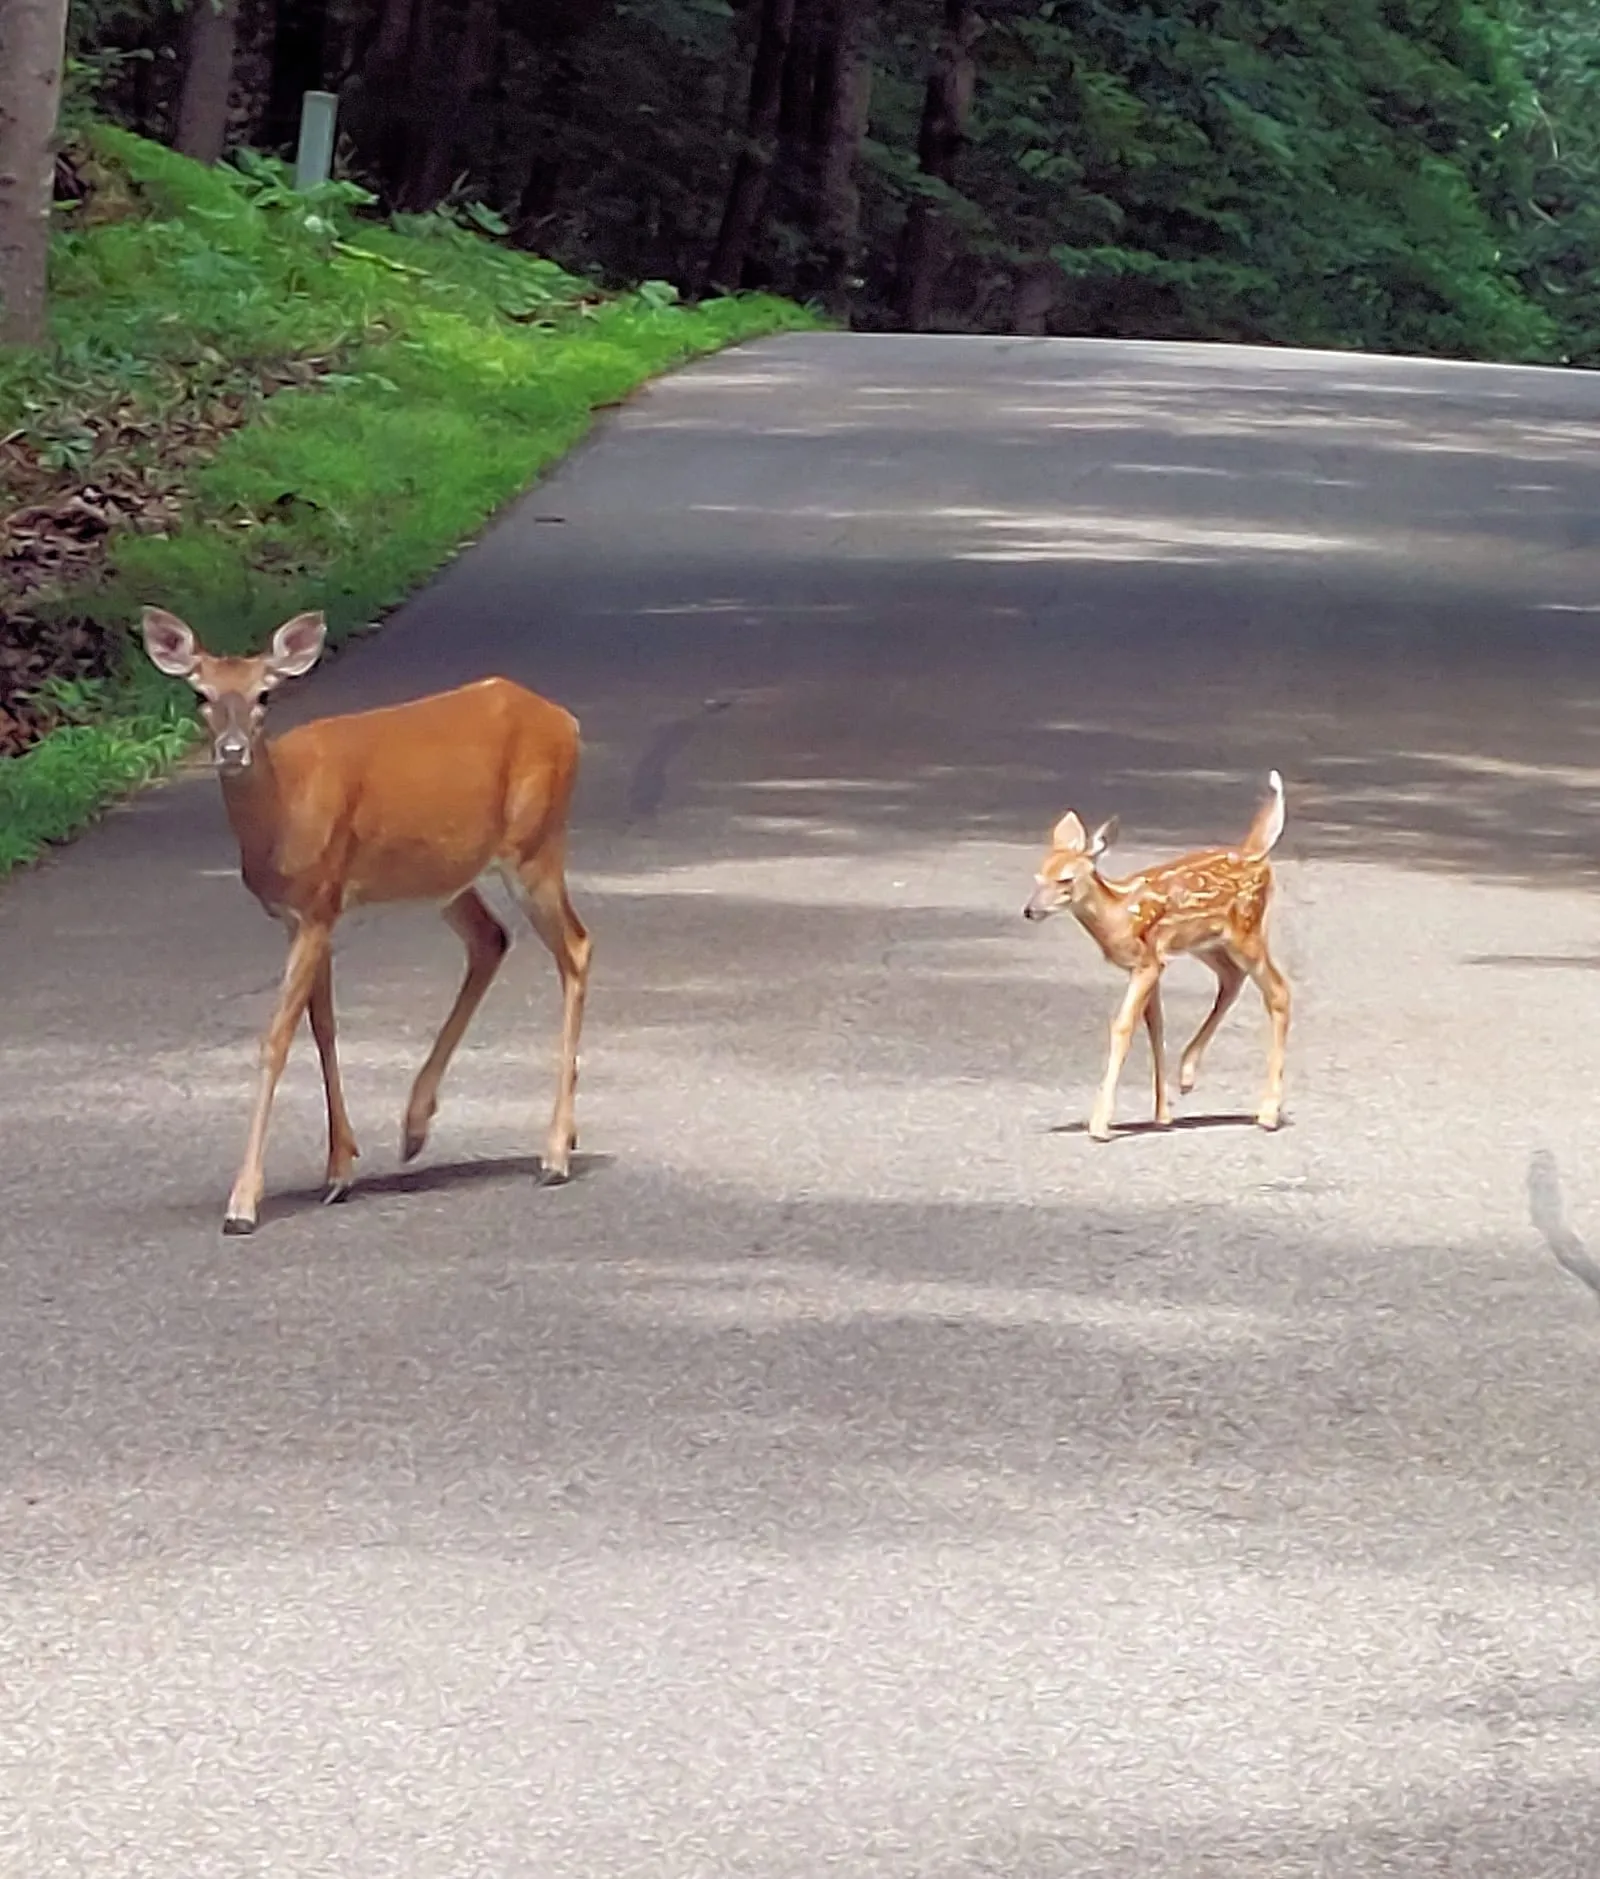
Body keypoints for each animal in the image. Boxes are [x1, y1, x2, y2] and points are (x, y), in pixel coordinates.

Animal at [140, 607, 592, 1236]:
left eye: (263, 694)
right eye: (199, 694)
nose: (232, 750)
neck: (283, 809)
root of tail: (565, 721)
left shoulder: (319, 902)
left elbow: (276, 1037)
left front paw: (243, 1203)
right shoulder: (308, 914)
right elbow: (322, 1025)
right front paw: (338, 1169)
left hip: (535, 844)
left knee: (575, 946)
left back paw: (553, 1153)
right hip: (447, 873)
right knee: (491, 940)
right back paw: (420, 1126)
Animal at [1022, 771, 1290, 1142]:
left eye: (1065, 879)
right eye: (1038, 876)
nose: (1030, 911)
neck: (1118, 915)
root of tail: (1256, 853)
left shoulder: (1147, 963)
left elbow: (1123, 1026)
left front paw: (1100, 1124)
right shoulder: (1150, 963)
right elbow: (1155, 1025)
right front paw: (1162, 1114)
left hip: (1246, 932)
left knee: (1279, 991)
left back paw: (1268, 1113)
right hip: (1207, 943)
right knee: (1232, 979)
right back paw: (1188, 1075)